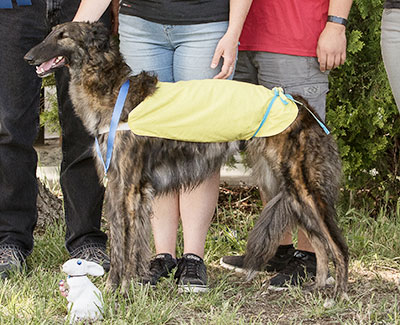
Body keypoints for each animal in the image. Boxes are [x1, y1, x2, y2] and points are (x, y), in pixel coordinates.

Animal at [25, 21, 348, 298]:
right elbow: (128, 244)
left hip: (304, 188)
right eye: (51, 32)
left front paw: (118, 290)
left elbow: (123, 245)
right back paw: (317, 287)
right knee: (321, 244)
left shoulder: (126, 187)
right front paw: (126, 285)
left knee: (338, 246)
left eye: (63, 36)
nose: (28, 57)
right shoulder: (127, 189)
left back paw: (338, 295)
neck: (112, 91)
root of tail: (299, 104)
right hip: (292, 191)